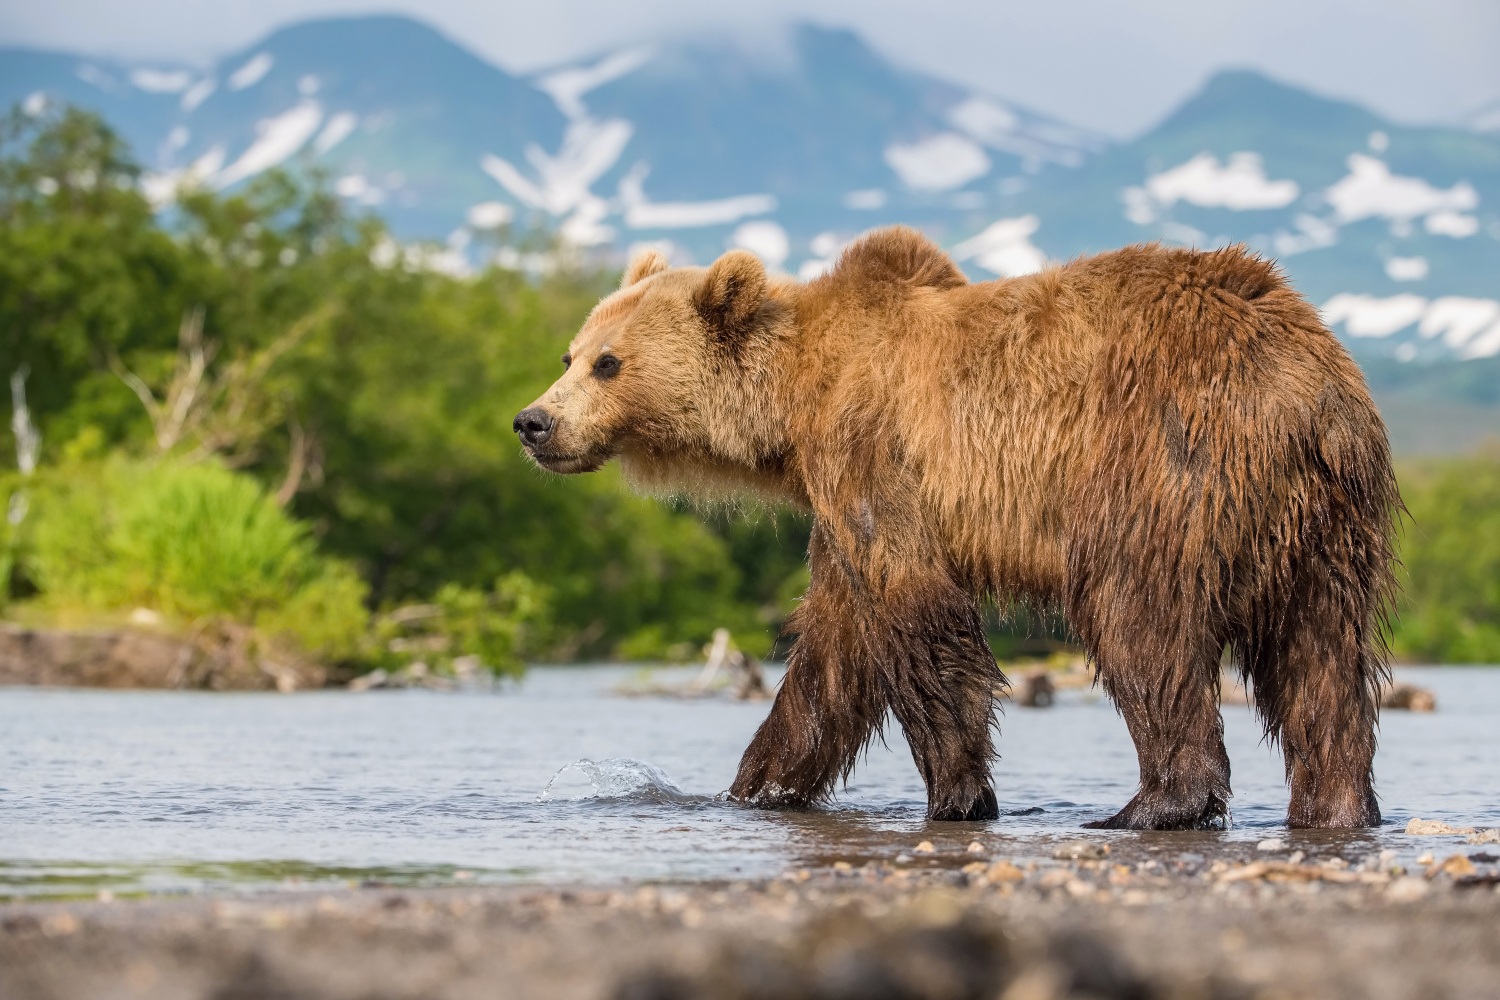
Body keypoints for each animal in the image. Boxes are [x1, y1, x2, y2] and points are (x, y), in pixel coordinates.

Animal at [519, 229, 1404, 827]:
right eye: (568, 354)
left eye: (608, 362)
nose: (533, 422)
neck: (797, 401)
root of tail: (1311, 385)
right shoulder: (836, 503)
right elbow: (834, 650)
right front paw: (756, 785)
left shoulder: (875, 453)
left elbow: (918, 617)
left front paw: (958, 793)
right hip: (1323, 524)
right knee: (1320, 661)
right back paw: (1335, 804)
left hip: (1164, 467)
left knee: (1141, 625)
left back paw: (1152, 804)